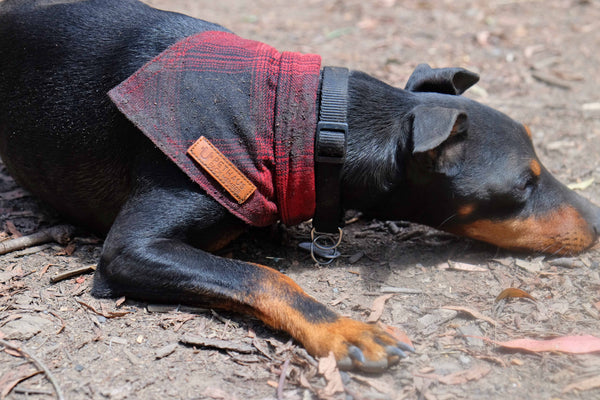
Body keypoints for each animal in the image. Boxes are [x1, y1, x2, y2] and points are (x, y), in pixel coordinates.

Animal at [1, 0, 600, 372]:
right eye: (524, 186)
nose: (597, 221)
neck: (310, 122)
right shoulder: (129, 250)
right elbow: (264, 276)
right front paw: (346, 331)